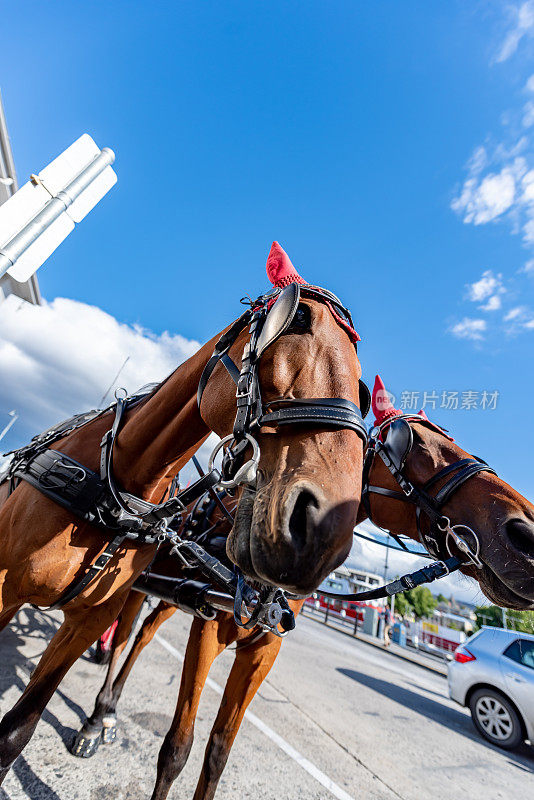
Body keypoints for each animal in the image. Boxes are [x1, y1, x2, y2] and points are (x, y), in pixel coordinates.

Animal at [0, 242, 368, 780]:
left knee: (134, 634)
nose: (323, 532)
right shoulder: (5, 585)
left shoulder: (99, 616)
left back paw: (102, 716)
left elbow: (18, 730)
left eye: (363, 391)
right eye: (296, 319)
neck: (119, 485)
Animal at [74, 376, 534, 800]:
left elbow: (218, 752)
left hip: (179, 594)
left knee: (145, 634)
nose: (526, 533)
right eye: (412, 442)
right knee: (125, 633)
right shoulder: (208, 629)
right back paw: (98, 719)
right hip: (139, 582)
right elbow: (177, 747)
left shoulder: (263, 649)